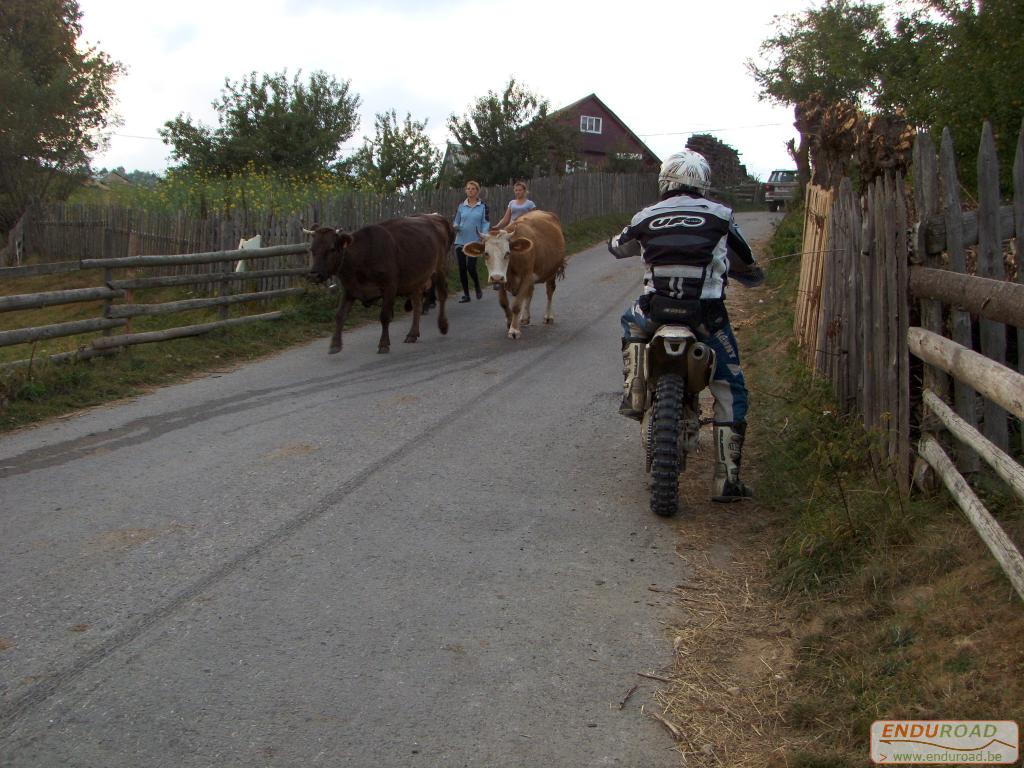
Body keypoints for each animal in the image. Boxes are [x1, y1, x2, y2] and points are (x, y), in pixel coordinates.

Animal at [303, 214, 448, 352]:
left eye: (332, 249)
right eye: (312, 249)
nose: (314, 274)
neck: (362, 256)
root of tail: (434, 218)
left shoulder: (390, 287)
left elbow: (384, 316)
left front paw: (383, 344)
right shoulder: (350, 289)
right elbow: (340, 315)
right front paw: (335, 344)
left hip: (439, 268)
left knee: (442, 295)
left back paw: (443, 325)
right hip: (416, 279)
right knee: (417, 304)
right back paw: (412, 334)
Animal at [464, 211, 569, 342]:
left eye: (507, 253)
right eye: (486, 253)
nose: (496, 277)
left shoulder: (526, 276)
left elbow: (516, 305)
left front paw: (514, 330)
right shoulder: (503, 280)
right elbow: (503, 303)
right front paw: (510, 322)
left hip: (552, 270)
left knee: (550, 290)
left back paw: (548, 316)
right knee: (530, 292)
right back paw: (524, 317)